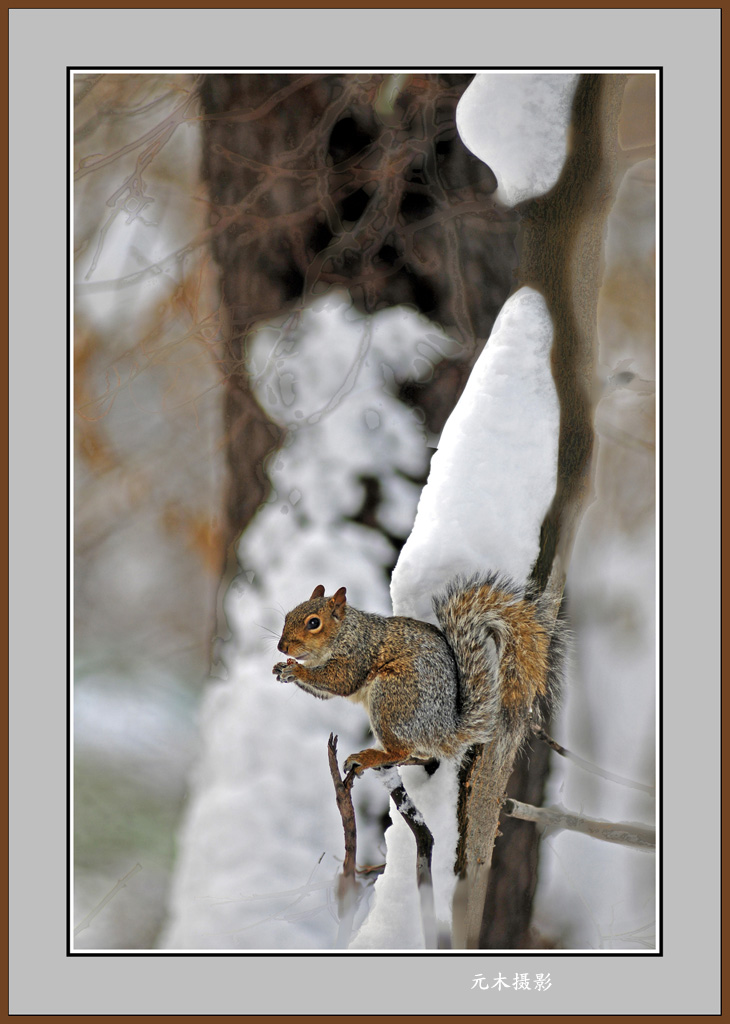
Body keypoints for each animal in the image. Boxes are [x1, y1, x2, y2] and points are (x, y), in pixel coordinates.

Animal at [270, 573, 565, 770]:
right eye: (287, 617)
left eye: (314, 623)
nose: (282, 647)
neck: (345, 632)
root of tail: (444, 732)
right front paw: (281, 668)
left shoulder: (357, 654)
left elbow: (338, 681)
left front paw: (298, 672)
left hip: (392, 697)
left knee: (401, 750)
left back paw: (370, 757)